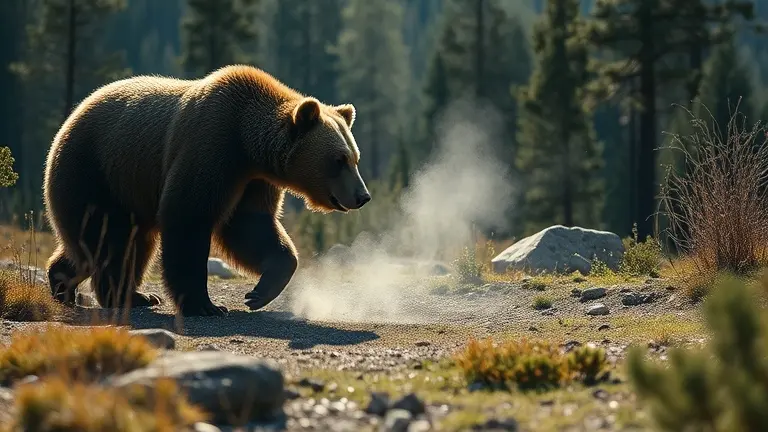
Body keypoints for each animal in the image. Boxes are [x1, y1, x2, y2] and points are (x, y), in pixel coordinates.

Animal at [43, 64, 371, 317]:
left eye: (355, 158)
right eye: (338, 160)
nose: (362, 196)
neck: (247, 144)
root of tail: (68, 121)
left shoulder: (252, 181)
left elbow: (250, 226)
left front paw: (260, 291)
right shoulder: (210, 147)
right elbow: (187, 218)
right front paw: (205, 305)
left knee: (108, 246)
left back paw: (72, 283)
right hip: (97, 172)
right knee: (109, 241)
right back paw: (119, 295)